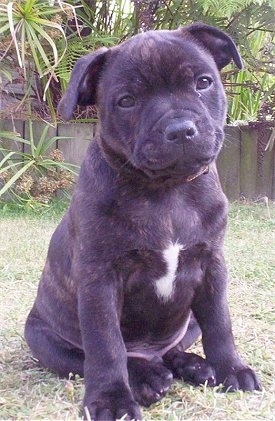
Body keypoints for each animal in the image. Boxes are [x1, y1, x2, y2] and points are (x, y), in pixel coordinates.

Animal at [24, 23, 262, 420]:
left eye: (203, 82)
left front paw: (232, 368)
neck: (164, 191)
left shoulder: (211, 266)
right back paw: (146, 377)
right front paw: (110, 400)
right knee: (96, 357)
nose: (180, 129)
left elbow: (219, 323)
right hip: (41, 337)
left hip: (187, 321)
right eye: (126, 101)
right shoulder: (100, 278)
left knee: (173, 349)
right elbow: (106, 345)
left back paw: (193, 366)